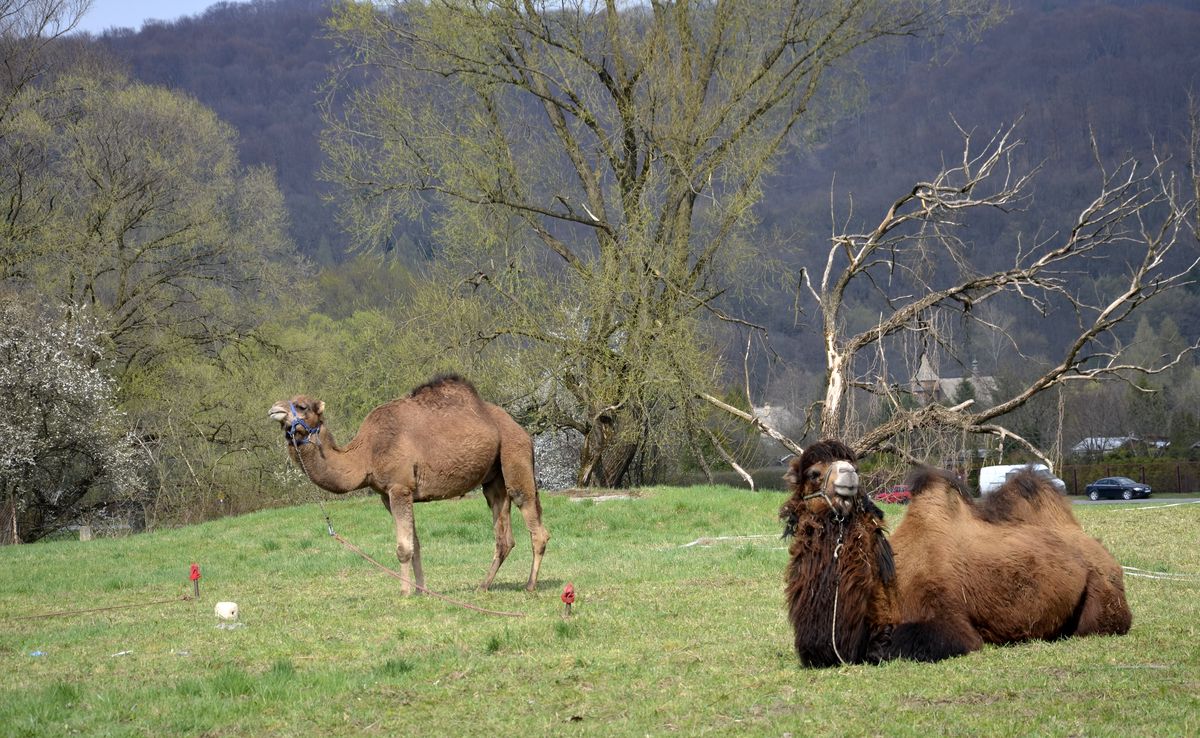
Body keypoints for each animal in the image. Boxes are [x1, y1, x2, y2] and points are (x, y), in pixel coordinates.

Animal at [267, 374, 549, 595]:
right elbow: (416, 545)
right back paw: (483, 586)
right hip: (493, 478)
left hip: (514, 452)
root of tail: (522, 430)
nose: (273, 409)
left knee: (532, 518)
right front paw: (421, 590)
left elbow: (403, 547)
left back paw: (530, 586)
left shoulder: (399, 487)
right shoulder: (389, 495)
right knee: (503, 535)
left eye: (302, 406)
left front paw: (404, 593)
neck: (366, 454)